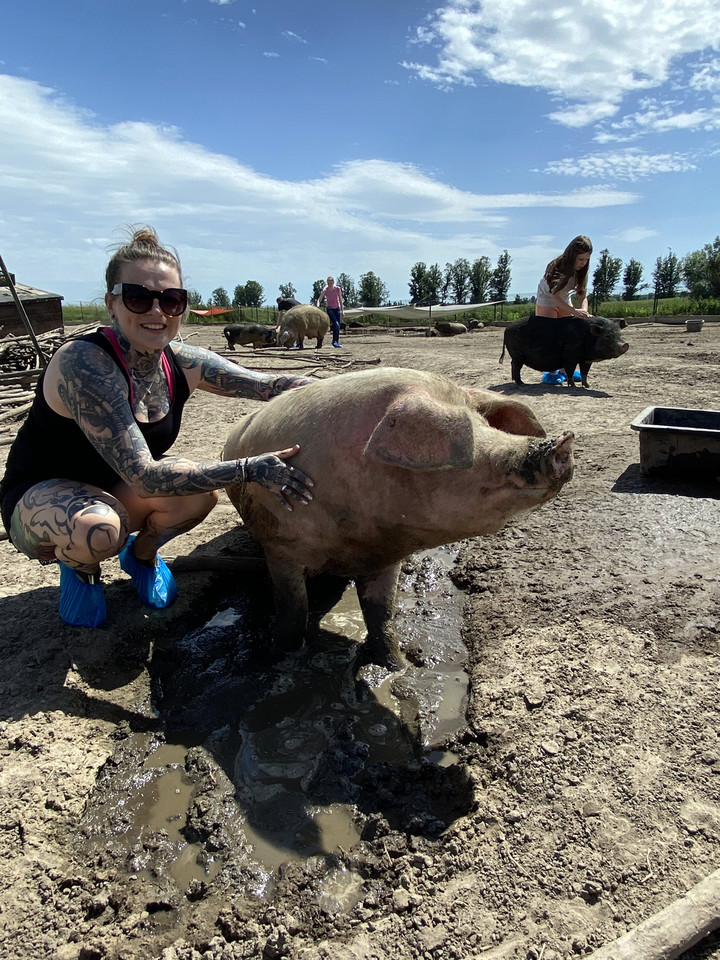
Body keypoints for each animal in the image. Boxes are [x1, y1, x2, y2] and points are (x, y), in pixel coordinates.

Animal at [222, 364, 572, 672]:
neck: (355, 537)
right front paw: (282, 663)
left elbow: (382, 616)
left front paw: (397, 668)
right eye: (473, 439)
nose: (562, 442)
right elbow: (293, 612)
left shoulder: (385, 557)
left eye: (486, 425)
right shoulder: (281, 548)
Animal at [498, 316, 628, 388]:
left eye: (620, 334)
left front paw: (587, 386)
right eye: (607, 337)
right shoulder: (570, 354)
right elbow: (570, 370)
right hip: (517, 353)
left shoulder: (586, 360)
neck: (588, 336)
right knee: (516, 366)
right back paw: (521, 383)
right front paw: (573, 386)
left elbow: (584, 373)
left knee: (513, 365)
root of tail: (506, 329)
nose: (625, 345)